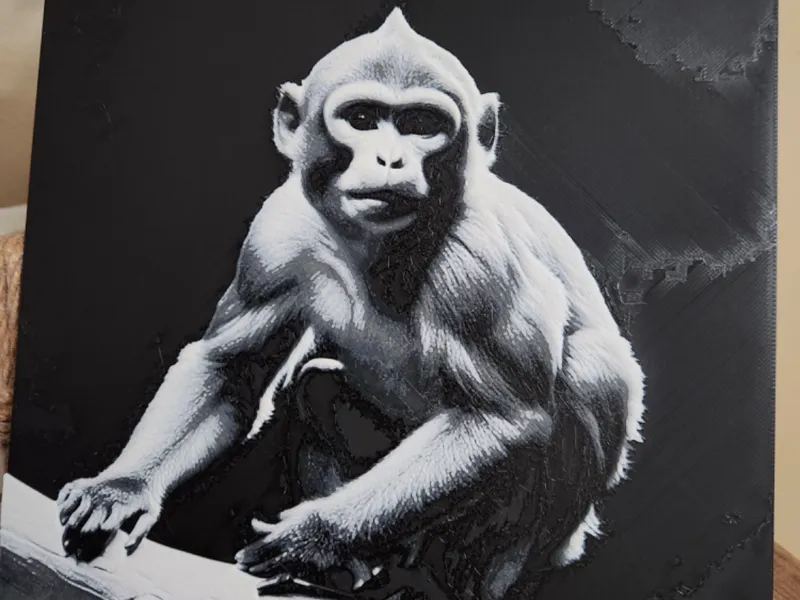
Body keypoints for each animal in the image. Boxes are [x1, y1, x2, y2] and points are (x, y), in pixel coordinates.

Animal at [56, 10, 645, 600]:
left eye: (422, 124)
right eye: (362, 118)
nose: (390, 158)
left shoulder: (477, 257)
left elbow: (504, 418)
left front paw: (316, 537)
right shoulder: (275, 234)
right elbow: (234, 367)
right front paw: (122, 487)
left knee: (595, 373)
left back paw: (450, 578)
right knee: (315, 385)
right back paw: (357, 570)